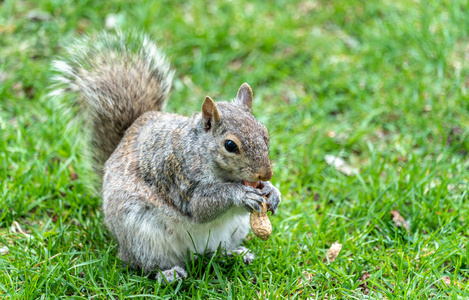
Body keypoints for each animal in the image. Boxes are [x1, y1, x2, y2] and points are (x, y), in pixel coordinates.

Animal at [54, 31, 282, 282]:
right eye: (230, 145)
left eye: (265, 132)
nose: (266, 173)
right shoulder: (179, 176)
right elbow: (202, 206)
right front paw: (241, 194)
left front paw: (272, 191)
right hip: (142, 235)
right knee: (143, 264)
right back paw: (169, 274)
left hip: (233, 230)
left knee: (214, 252)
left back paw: (234, 254)